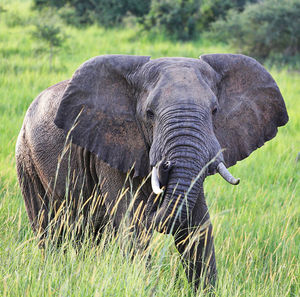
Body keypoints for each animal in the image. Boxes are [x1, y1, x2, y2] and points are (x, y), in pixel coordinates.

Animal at [15, 53, 288, 290]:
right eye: (150, 114)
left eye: (214, 111)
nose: (165, 165)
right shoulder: (110, 147)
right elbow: (131, 223)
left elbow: (197, 228)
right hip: (26, 160)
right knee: (50, 231)